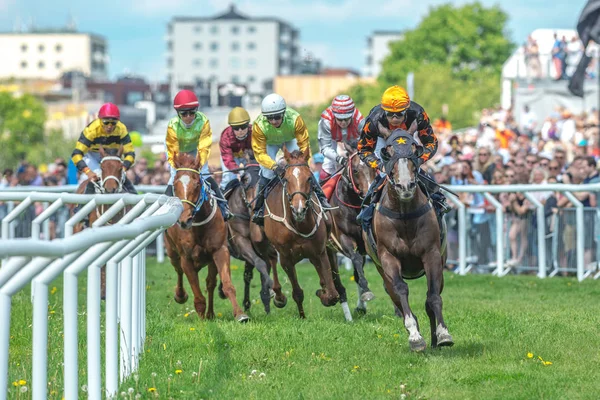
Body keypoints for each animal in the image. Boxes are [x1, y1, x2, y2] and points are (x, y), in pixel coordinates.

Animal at [164, 152, 248, 324]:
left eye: (197, 184)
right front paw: (201, 320)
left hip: (210, 260)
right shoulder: (186, 258)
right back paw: (180, 296)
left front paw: (240, 314)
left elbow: (227, 285)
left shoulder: (219, 250)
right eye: (175, 185)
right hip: (172, 253)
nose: (184, 220)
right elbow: (197, 295)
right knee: (178, 271)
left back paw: (210, 314)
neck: (198, 225)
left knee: (210, 283)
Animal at [262, 148, 352, 320]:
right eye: (286, 179)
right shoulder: (286, 258)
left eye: (309, 178)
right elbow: (297, 292)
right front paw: (302, 316)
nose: (299, 209)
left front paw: (323, 293)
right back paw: (278, 296)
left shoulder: (319, 252)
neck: (300, 225)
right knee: (271, 260)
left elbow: (332, 294)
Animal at [328, 145, 376, 314]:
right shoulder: (344, 238)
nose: (369, 195)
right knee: (335, 278)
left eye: (375, 168)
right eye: (355, 170)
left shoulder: (365, 243)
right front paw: (366, 290)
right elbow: (355, 259)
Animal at [364, 123, 452, 352]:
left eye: (416, 150)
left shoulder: (432, 254)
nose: (405, 186)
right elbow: (401, 290)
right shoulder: (388, 257)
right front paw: (414, 336)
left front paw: (443, 334)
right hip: (381, 270)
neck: (404, 214)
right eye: (387, 152)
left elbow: (433, 297)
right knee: (394, 295)